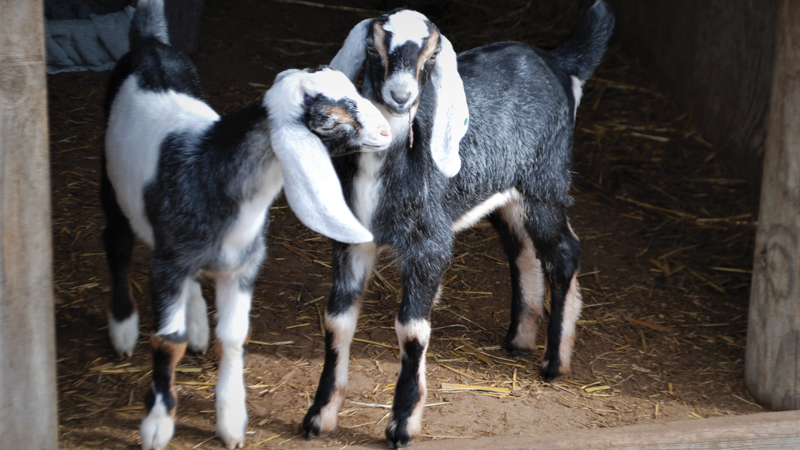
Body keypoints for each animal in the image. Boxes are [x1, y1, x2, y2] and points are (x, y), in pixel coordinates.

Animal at [101, 1, 391, 448]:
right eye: (327, 119)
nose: (386, 131)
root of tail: (150, 44)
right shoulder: (167, 264)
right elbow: (167, 342)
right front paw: (157, 425)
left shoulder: (243, 265)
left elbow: (235, 337)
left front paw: (232, 420)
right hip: (110, 180)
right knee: (116, 241)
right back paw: (123, 328)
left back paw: (197, 324)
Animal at [303, 3, 614, 447]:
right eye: (373, 47)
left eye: (431, 54)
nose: (401, 96)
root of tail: (557, 60)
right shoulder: (352, 244)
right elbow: (335, 321)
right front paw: (319, 416)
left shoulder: (429, 245)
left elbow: (411, 330)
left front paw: (403, 425)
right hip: (507, 196)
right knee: (523, 252)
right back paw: (520, 339)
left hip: (544, 182)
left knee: (563, 253)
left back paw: (555, 360)